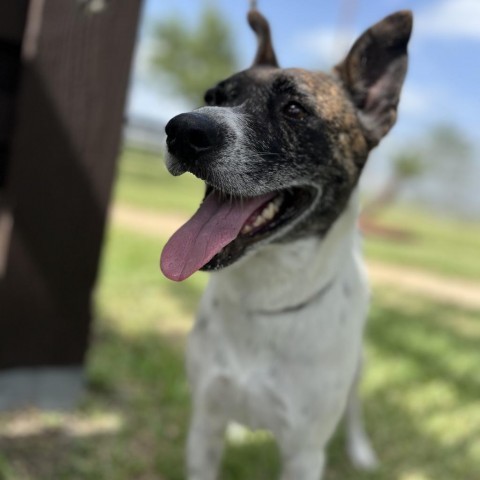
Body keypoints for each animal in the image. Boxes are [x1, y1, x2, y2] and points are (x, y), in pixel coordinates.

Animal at [161, 8, 412, 480]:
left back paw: (361, 451)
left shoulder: (304, 452)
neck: (265, 298)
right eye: (212, 96)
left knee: (354, 407)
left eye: (295, 109)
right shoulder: (204, 423)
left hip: (358, 369)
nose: (183, 130)